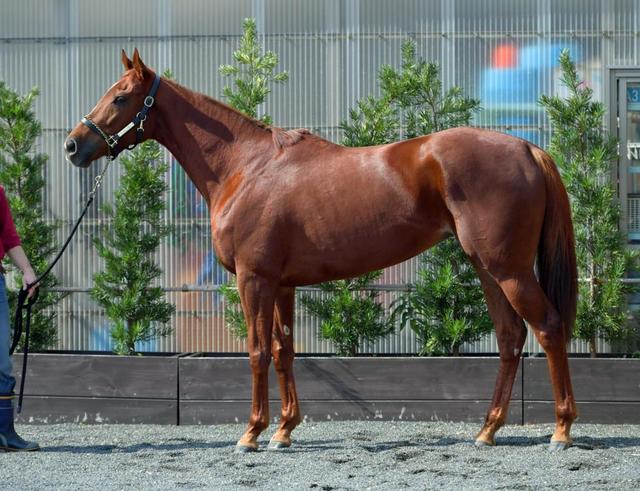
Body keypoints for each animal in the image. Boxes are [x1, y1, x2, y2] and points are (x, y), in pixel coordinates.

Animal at [64, 49, 577, 452]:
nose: (73, 145)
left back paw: (561, 430)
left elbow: (256, 350)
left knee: (549, 327)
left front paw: (252, 434)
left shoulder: (253, 279)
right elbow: (284, 350)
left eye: (121, 98)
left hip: (508, 270)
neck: (245, 166)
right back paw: (488, 430)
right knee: (510, 338)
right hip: (488, 268)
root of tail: (528, 148)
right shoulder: (281, 284)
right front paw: (284, 431)